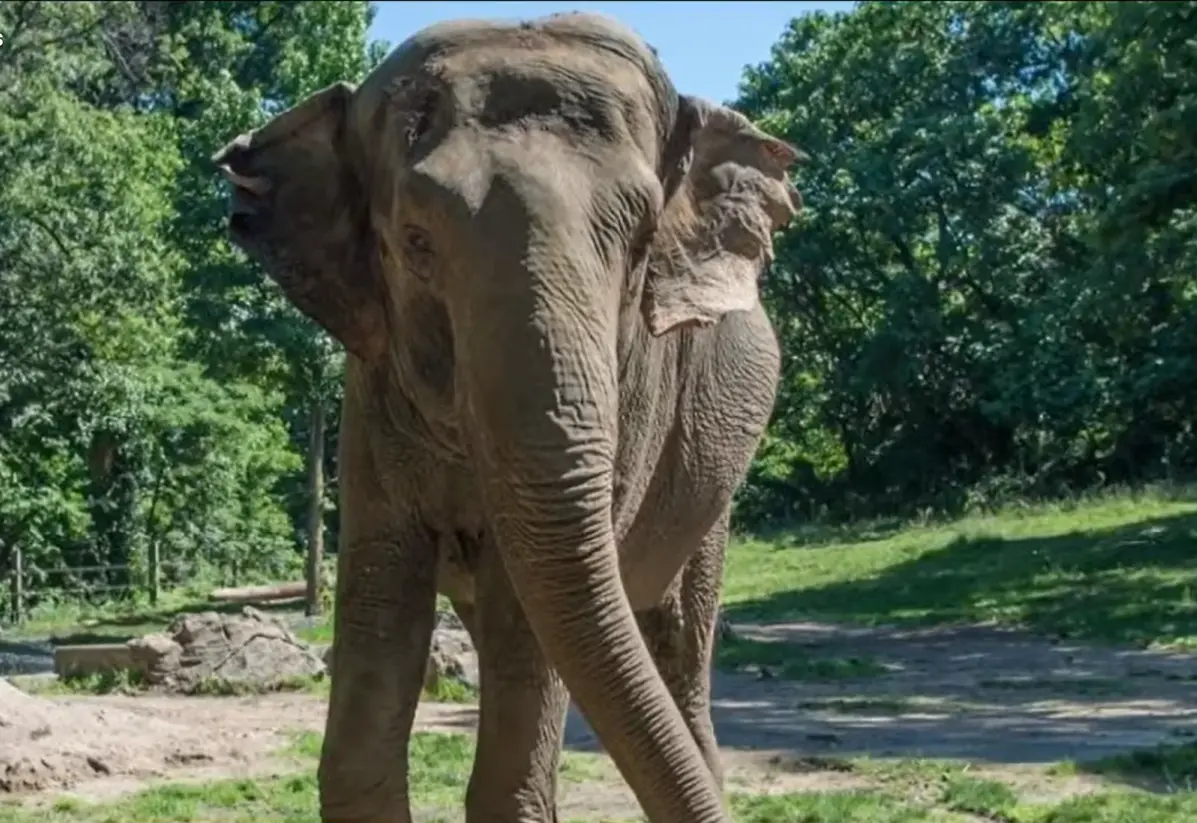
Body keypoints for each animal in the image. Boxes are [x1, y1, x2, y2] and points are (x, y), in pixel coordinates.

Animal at [210, 12, 802, 823]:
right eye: (414, 243)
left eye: (642, 241)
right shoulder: (370, 400)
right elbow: (378, 618)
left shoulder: (637, 402)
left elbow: (529, 632)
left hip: (711, 489)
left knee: (676, 644)